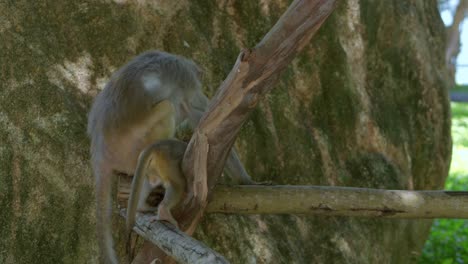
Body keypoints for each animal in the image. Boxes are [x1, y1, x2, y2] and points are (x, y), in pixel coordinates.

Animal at [87, 50, 252, 262]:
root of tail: (100, 151)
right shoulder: (188, 84)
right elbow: (206, 122)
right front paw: (246, 180)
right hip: (134, 143)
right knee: (167, 107)